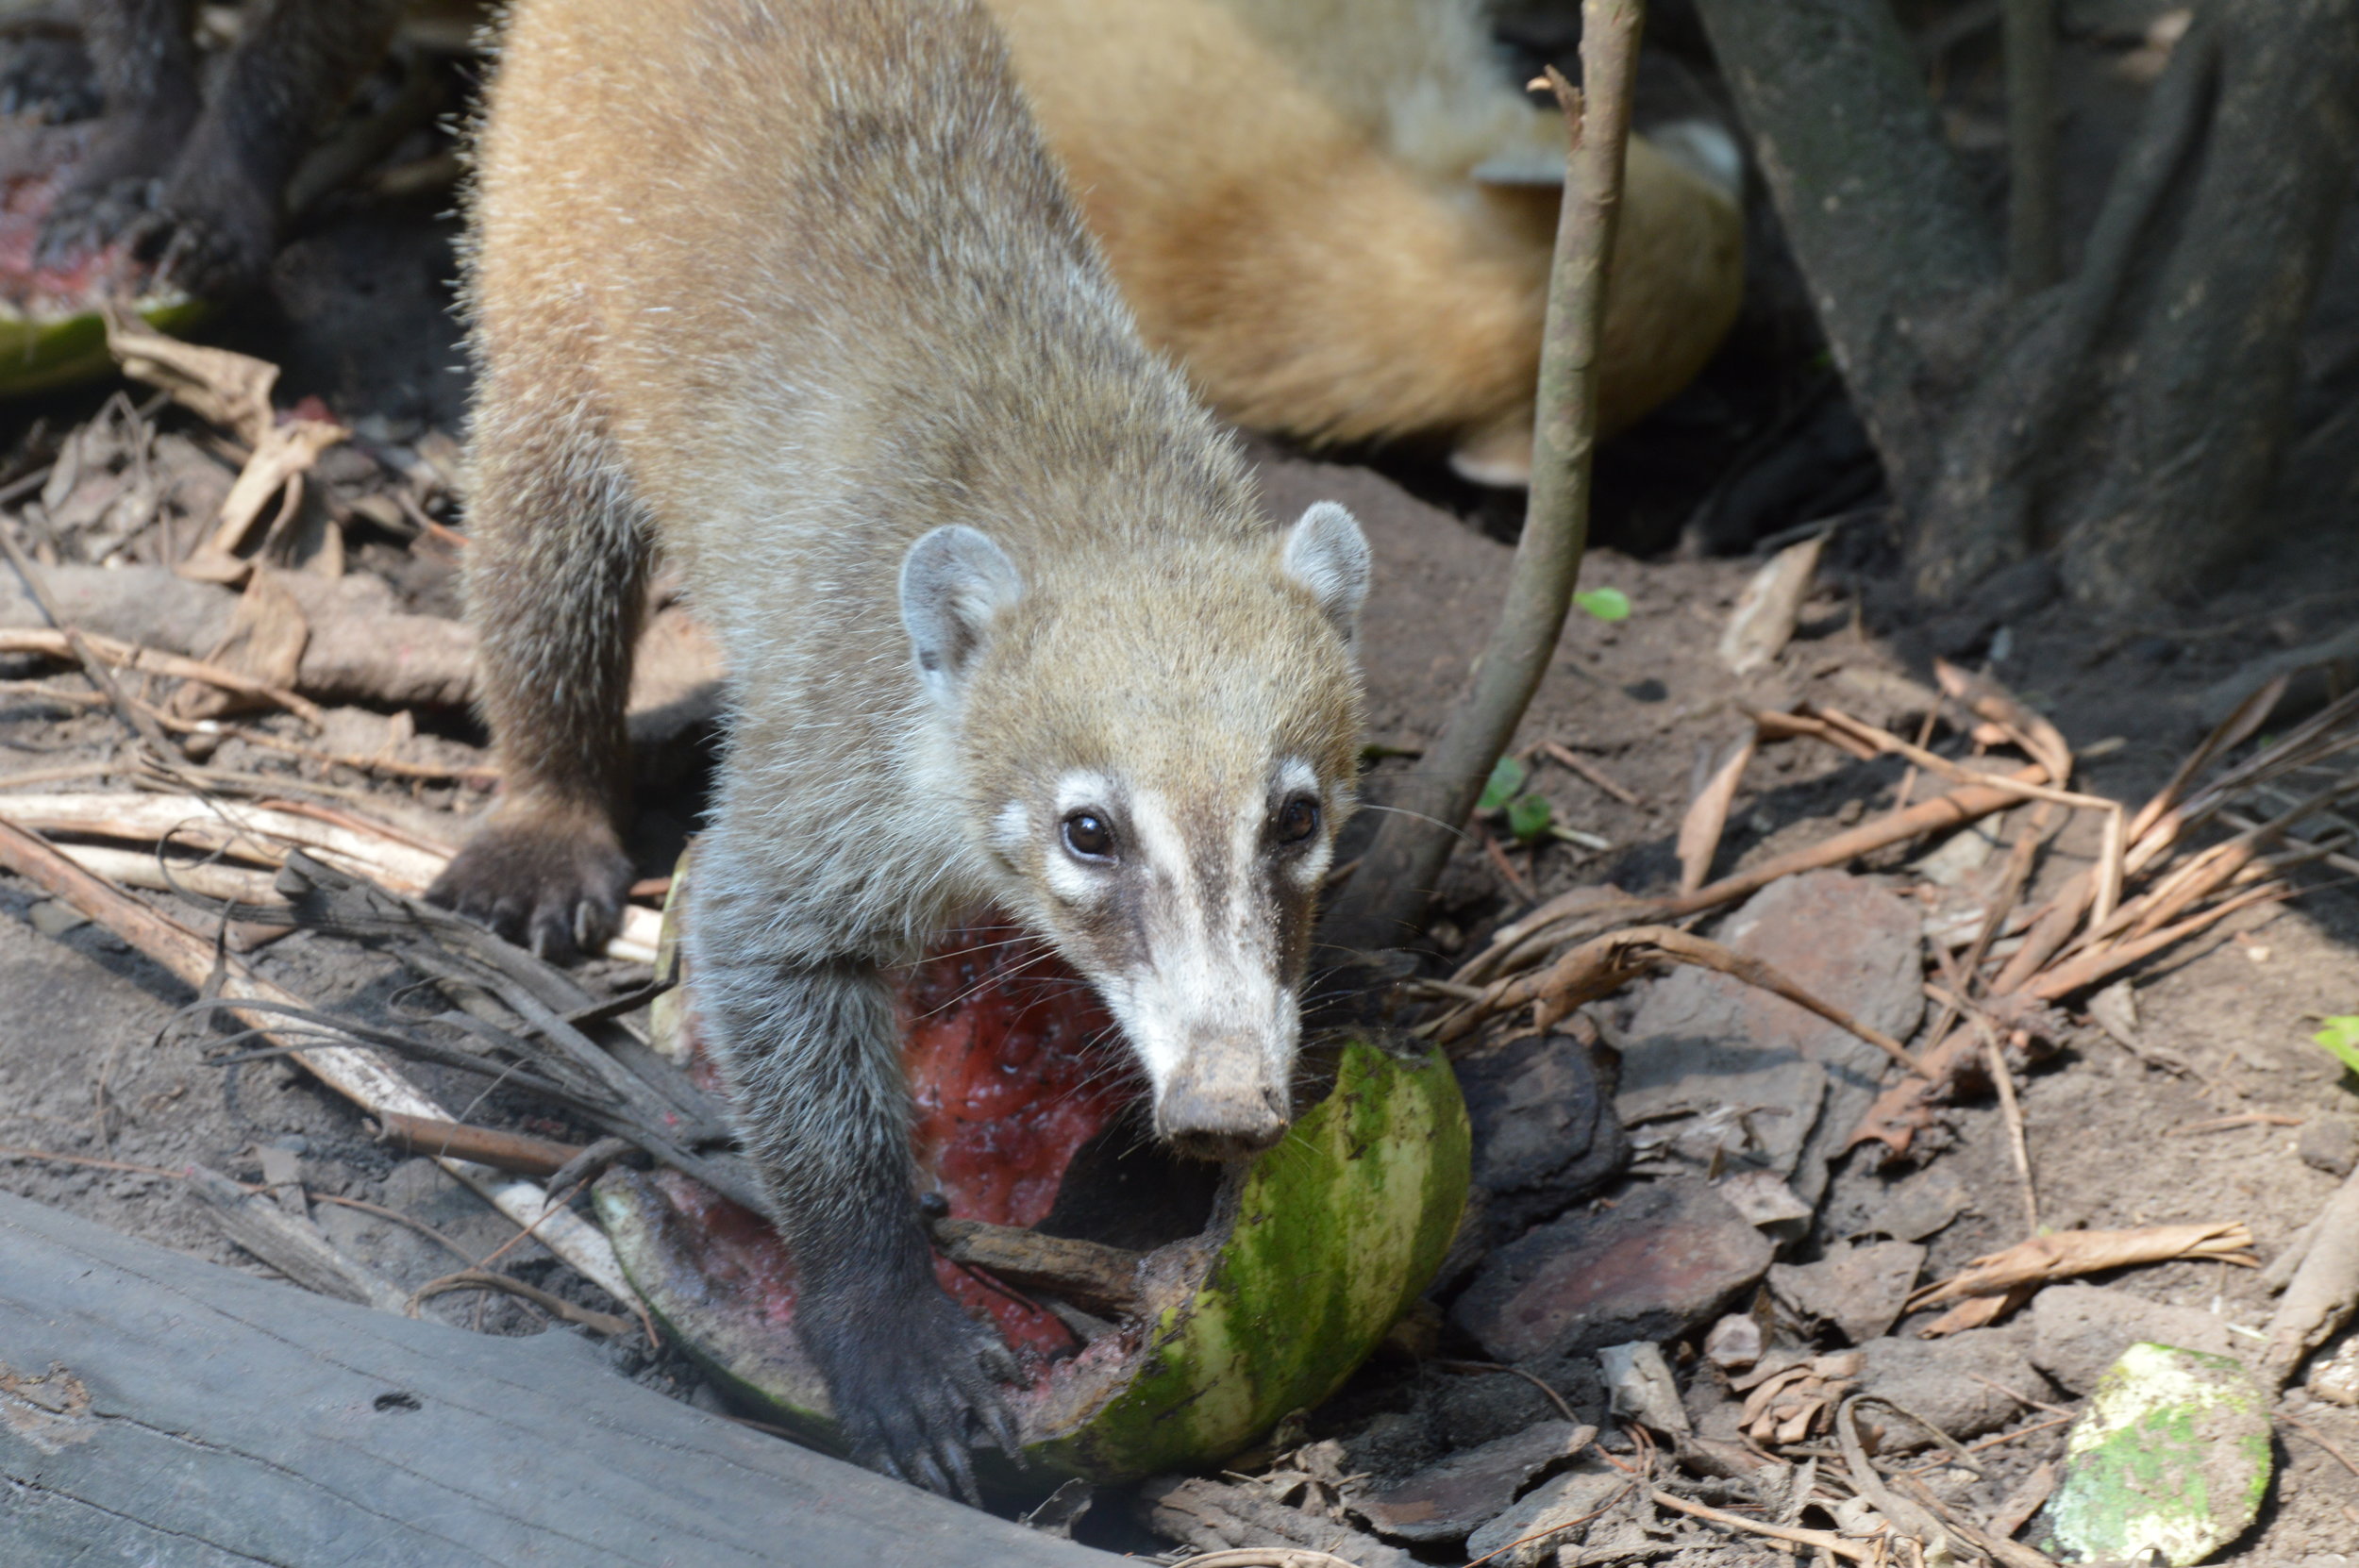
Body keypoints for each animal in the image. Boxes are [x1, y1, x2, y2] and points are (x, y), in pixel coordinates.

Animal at [430, 0, 1372, 1496]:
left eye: (1295, 819)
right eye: (1088, 831)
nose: (1225, 1102)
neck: (1094, 497)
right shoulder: (838, 754)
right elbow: (766, 953)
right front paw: (881, 1307)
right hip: (543, 258)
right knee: (538, 544)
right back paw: (547, 795)